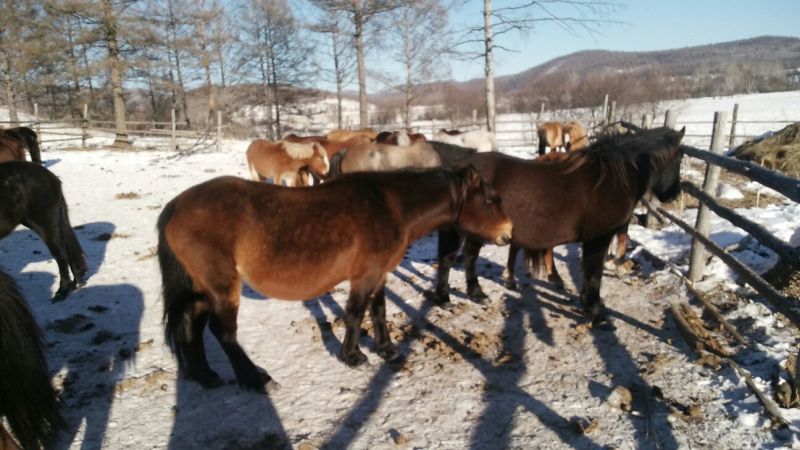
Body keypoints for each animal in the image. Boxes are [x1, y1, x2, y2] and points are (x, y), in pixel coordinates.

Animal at [157, 166, 513, 391]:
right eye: (489, 200)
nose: (508, 234)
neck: (392, 207)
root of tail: (177, 205)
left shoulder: (378, 274)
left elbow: (378, 311)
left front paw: (387, 350)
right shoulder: (365, 275)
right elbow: (355, 314)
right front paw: (353, 357)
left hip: (199, 287)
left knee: (190, 325)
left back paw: (206, 376)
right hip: (221, 285)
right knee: (223, 333)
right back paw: (258, 380)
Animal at [430, 126, 685, 325]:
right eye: (680, 157)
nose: (674, 194)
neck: (612, 178)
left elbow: (589, 274)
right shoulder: (598, 239)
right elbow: (594, 275)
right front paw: (596, 313)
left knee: (465, 257)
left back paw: (474, 294)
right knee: (450, 260)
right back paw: (447, 300)